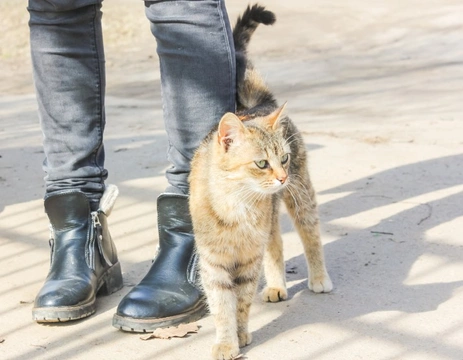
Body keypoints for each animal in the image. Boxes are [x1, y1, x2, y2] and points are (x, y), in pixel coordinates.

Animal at [188, 5, 334, 360]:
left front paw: (240, 335)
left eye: (283, 158)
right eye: (261, 163)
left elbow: (240, 303)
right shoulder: (214, 262)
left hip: (301, 197)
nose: (281, 176)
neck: (236, 206)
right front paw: (226, 341)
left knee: (310, 237)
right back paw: (277, 286)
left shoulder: (248, 260)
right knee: (276, 245)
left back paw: (319, 277)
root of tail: (257, 106)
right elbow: (221, 306)